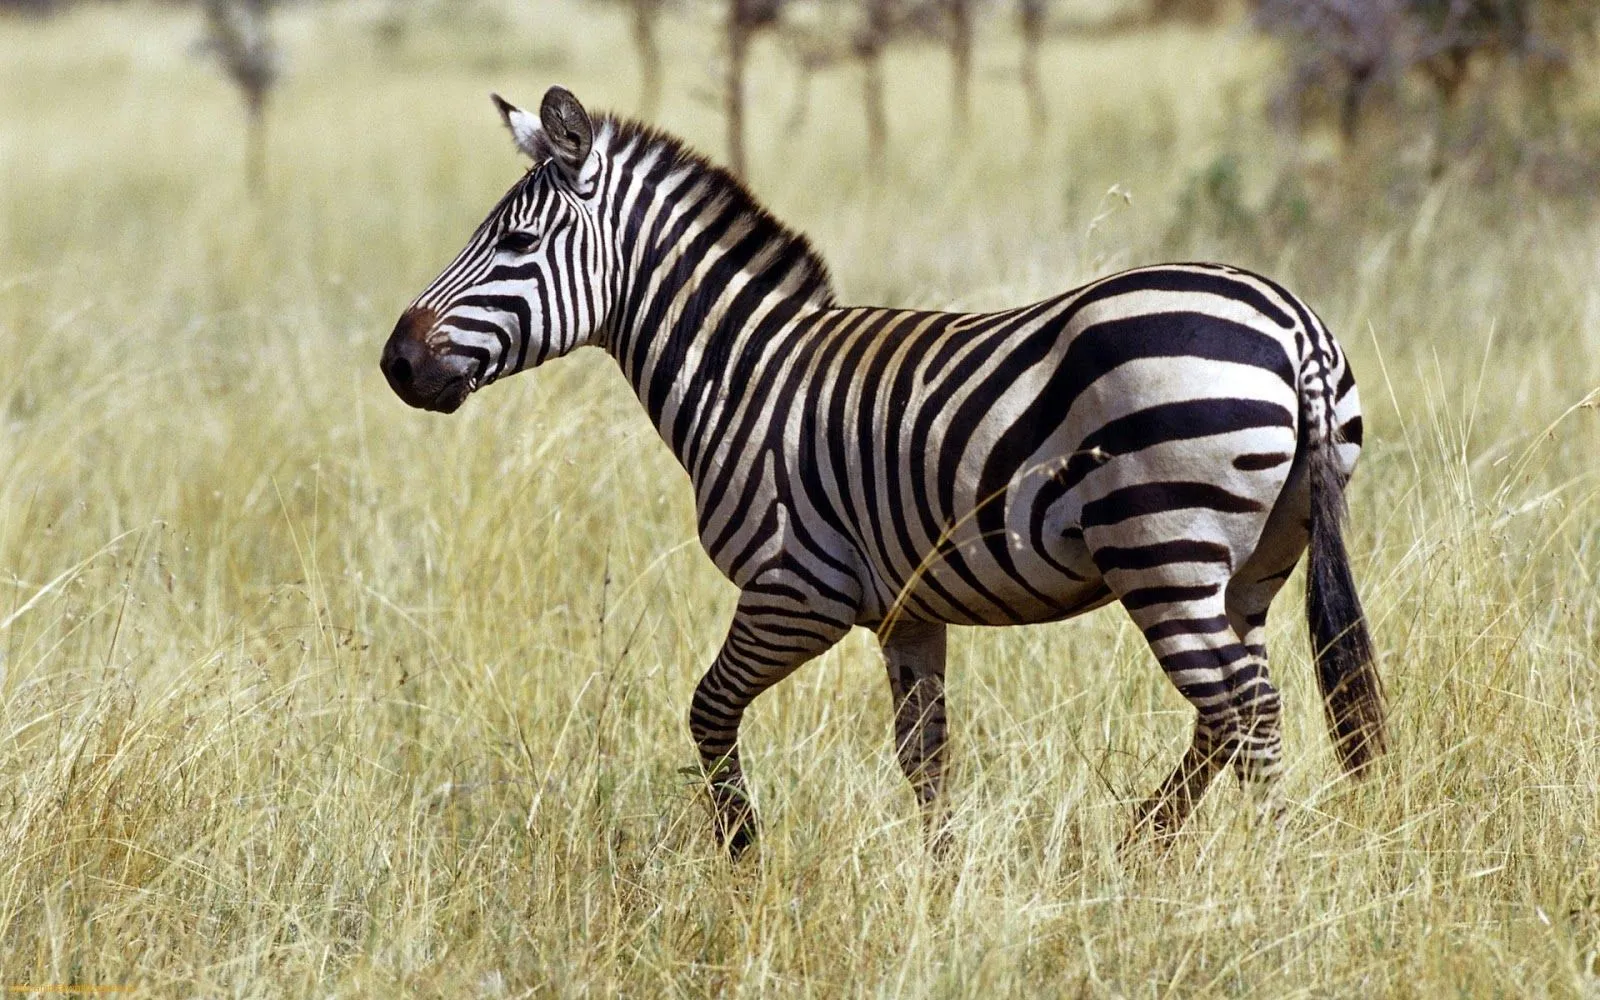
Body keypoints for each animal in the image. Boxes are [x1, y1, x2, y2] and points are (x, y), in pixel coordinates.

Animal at [381, 86, 1386, 856]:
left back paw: (1264, 872)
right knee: (1228, 711)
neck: (745, 373)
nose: (396, 363)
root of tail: (1295, 323)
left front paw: (744, 856)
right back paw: (1142, 845)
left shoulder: (800, 588)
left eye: (516, 246)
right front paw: (940, 883)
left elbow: (708, 711)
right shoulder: (909, 609)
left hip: (1162, 551)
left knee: (1248, 710)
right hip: (1254, 561)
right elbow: (925, 757)